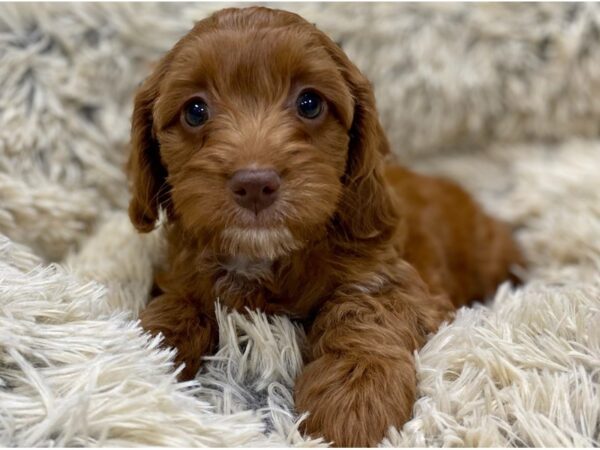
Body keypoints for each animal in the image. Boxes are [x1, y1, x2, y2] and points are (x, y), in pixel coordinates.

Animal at [127, 6, 524, 446]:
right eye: (195, 111)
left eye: (310, 103)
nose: (254, 184)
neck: (267, 258)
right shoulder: (184, 273)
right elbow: (178, 304)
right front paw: (144, 352)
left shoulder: (394, 278)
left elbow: (365, 310)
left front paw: (355, 397)